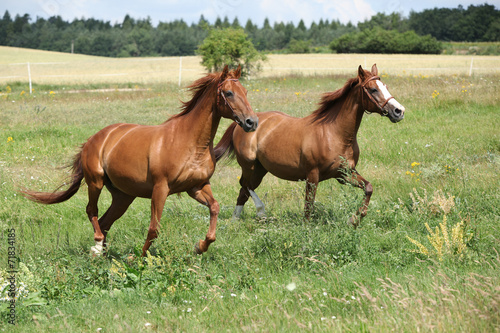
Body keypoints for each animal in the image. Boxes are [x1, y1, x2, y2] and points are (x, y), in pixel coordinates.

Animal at [23, 66, 258, 255]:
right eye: (229, 93)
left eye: (246, 92)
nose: (252, 122)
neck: (190, 143)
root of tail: (94, 139)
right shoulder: (160, 189)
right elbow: (154, 228)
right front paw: (138, 258)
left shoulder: (197, 187)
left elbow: (215, 208)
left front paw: (200, 246)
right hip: (95, 182)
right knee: (92, 212)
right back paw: (97, 247)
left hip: (123, 196)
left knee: (105, 221)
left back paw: (102, 255)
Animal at [217, 64, 404, 226]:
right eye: (373, 89)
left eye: (385, 86)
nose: (399, 111)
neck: (334, 134)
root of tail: (242, 123)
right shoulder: (313, 175)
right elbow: (308, 206)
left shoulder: (344, 174)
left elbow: (368, 188)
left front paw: (355, 219)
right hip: (249, 166)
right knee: (245, 185)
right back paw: (260, 211)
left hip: (260, 169)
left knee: (243, 191)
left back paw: (236, 221)